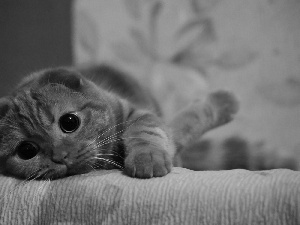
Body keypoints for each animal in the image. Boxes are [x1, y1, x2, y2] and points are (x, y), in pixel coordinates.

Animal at [0, 64, 239, 180]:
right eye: (26, 150)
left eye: (69, 122)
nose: (60, 156)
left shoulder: (138, 113)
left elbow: (148, 131)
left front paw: (147, 158)